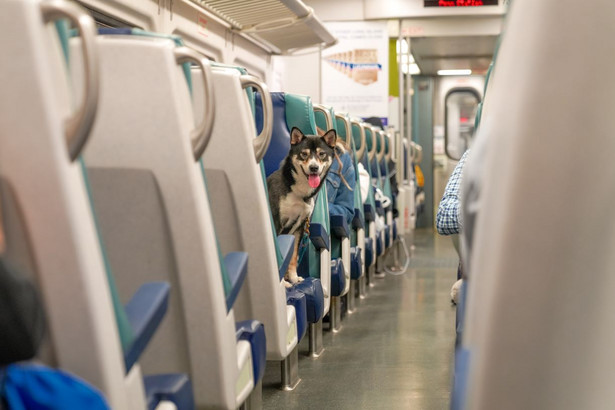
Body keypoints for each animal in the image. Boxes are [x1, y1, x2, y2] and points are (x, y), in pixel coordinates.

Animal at [268, 126, 336, 286]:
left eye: (322, 154)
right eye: (304, 154)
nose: (314, 167)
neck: (296, 192)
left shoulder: (299, 226)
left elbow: (293, 257)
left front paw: (293, 278)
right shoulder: (277, 223)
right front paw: (284, 284)